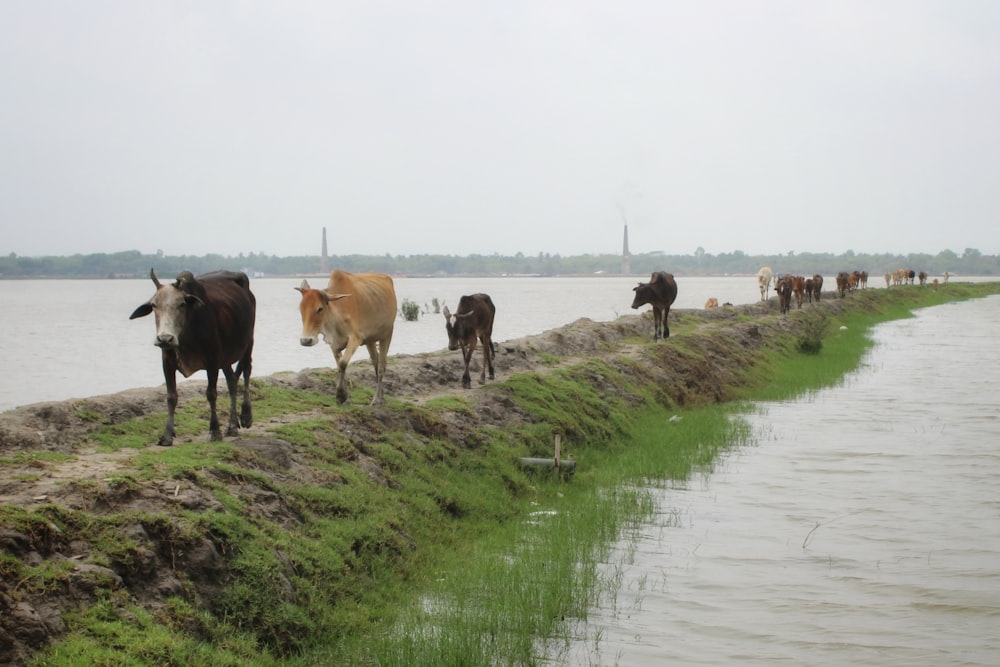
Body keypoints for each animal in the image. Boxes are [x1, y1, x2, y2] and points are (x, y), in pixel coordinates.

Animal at [129, 268, 256, 446]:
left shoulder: (212, 360)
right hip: (225, 357)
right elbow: (171, 397)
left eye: (181, 304)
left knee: (246, 371)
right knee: (231, 380)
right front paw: (167, 435)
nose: (165, 338)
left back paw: (245, 417)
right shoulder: (167, 361)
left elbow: (211, 394)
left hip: (248, 343)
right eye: (154, 305)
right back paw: (231, 426)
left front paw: (214, 431)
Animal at [294, 268, 396, 404]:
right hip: (370, 340)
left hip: (387, 334)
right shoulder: (333, 343)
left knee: (381, 366)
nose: (306, 340)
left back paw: (377, 399)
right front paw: (345, 397)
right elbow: (340, 366)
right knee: (375, 362)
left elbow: (343, 363)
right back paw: (382, 396)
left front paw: (341, 395)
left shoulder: (355, 338)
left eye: (320, 308)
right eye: (301, 309)